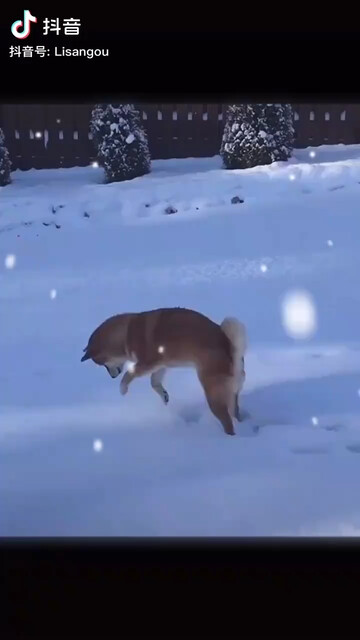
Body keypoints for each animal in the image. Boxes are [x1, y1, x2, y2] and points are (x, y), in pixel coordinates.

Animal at [80, 308, 246, 438]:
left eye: (101, 364)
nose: (112, 377)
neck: (126, 333)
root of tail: (229, 347)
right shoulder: (161, 365)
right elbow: (154, 382)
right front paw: (164, 395)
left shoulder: (147, 363)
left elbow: (130, 374)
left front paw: (122, 389)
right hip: (232, 393)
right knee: (235, 413)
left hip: (213, 395)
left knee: (227, 423)